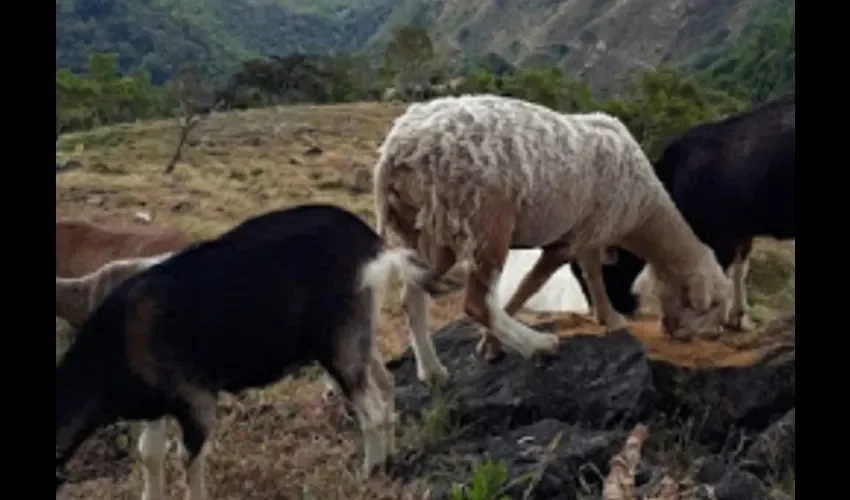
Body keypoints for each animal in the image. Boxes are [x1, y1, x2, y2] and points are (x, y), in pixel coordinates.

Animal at [374, 94, 732, 382]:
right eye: (711, 307)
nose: (690, 338)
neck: (643, 210)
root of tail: (396, 150)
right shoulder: (571, 239)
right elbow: (529, 286)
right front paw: (490, 345)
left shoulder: (590, 231)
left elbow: (593, 275)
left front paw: (609, 317)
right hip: (482, 215)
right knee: (475, 302)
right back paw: (537, 345)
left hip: (423, 226)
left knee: (413, 294)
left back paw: (432, 370)